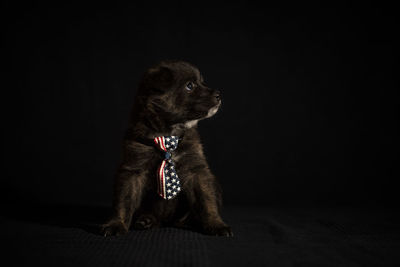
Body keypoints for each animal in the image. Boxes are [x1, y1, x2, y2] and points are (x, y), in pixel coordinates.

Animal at [101, 60, 231, 237]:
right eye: (189, 86)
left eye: (202, 82)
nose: (218, 94)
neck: (168, 134)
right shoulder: (133, 169)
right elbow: (123, 201)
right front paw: (116, 223)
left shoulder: (196, 170)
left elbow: (207, 200)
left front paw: (216, 224)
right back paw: (146, 220)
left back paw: (188, 222)